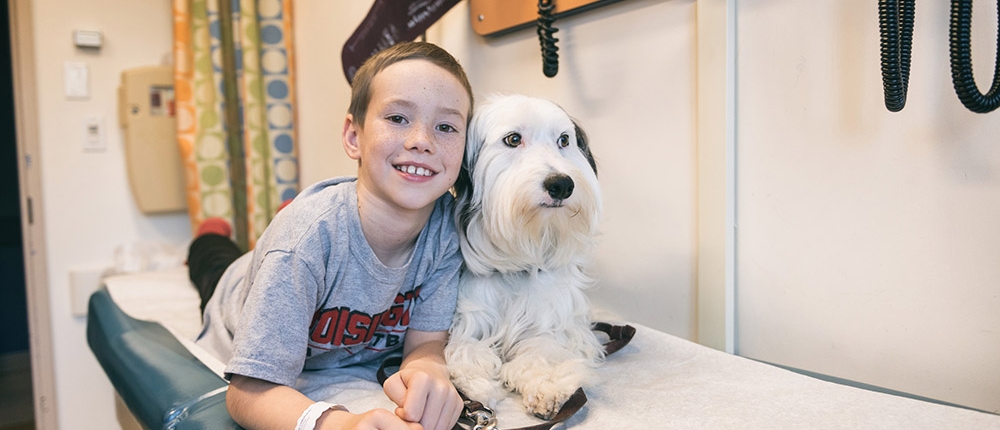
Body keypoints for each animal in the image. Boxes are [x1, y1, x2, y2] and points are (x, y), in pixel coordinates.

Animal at [444, 95, 600, 420]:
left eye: (564, 140)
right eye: (513, 139)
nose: (562, 184)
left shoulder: (552, 321)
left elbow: (542, 349)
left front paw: (546, 385)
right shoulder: (469, 318)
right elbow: (466, 348)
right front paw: (475, 385)